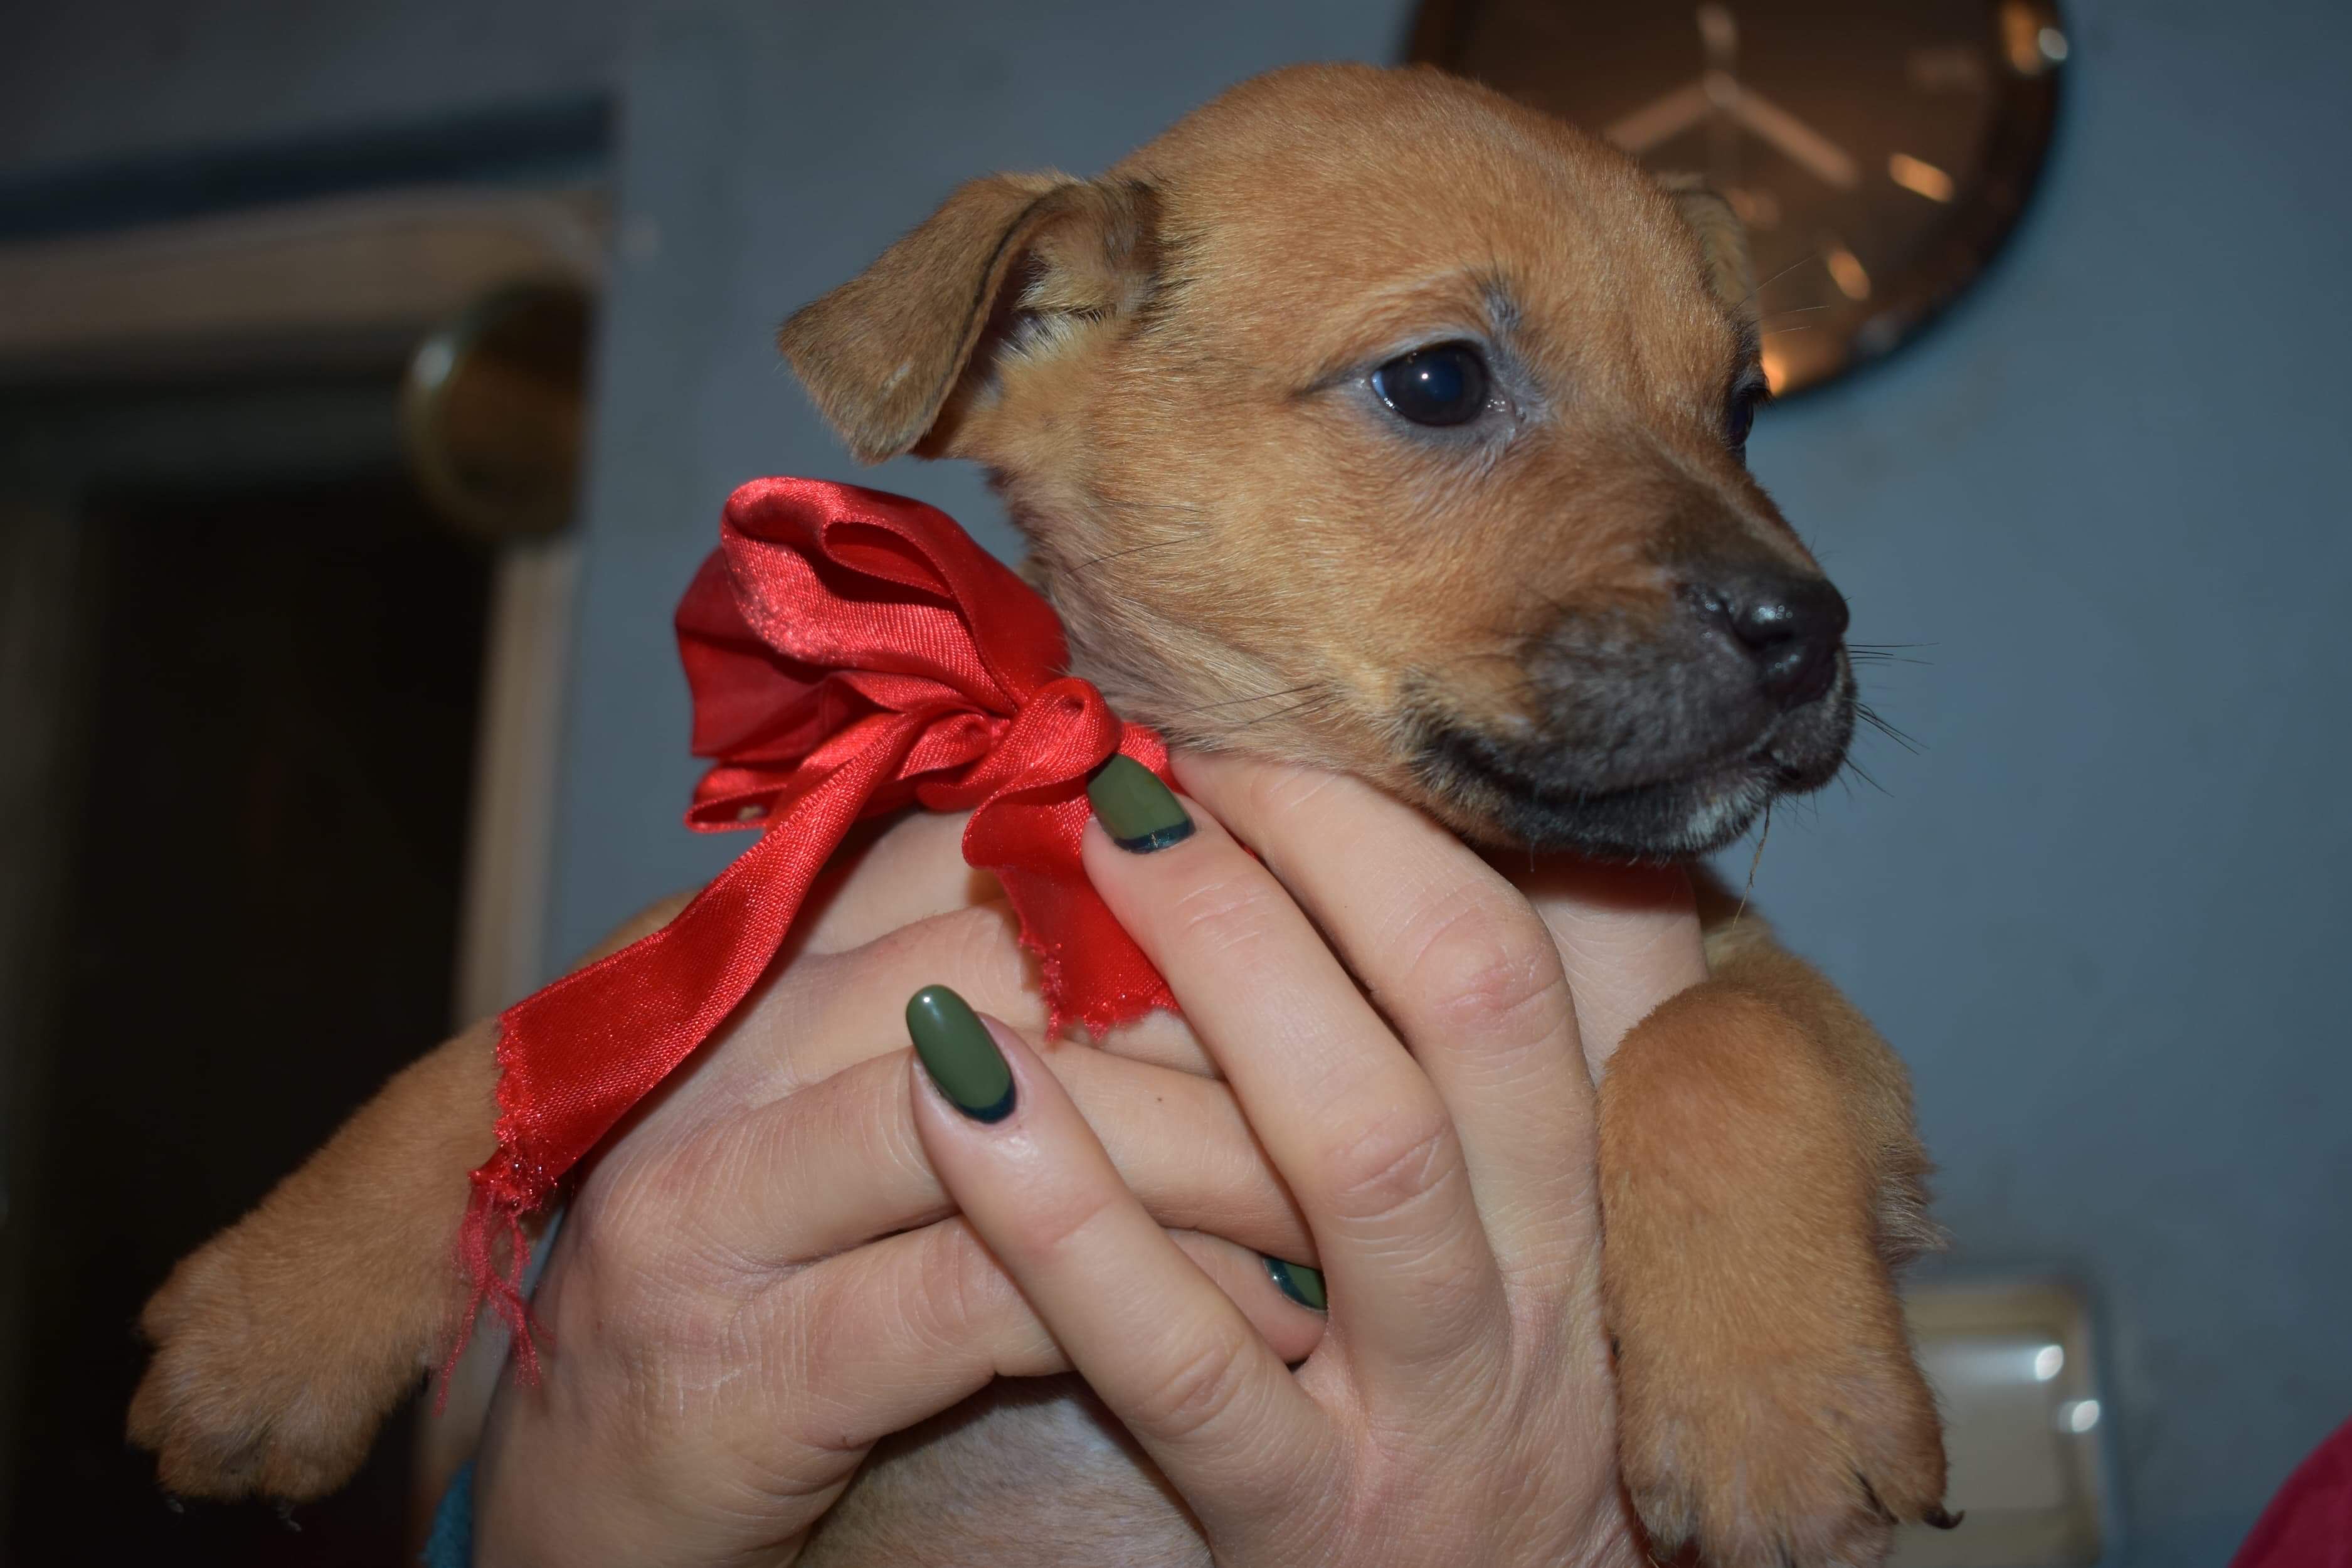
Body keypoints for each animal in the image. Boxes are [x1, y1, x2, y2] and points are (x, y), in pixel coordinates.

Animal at [129, 63, 1951, 1567]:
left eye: (1740, 403)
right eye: (1438, 381)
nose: (1808, 632)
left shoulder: (1809, 1028)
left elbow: (1716, 1049)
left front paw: (1777, 1402)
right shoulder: (774, 914)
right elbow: (513, 1050)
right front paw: (271, 1320)